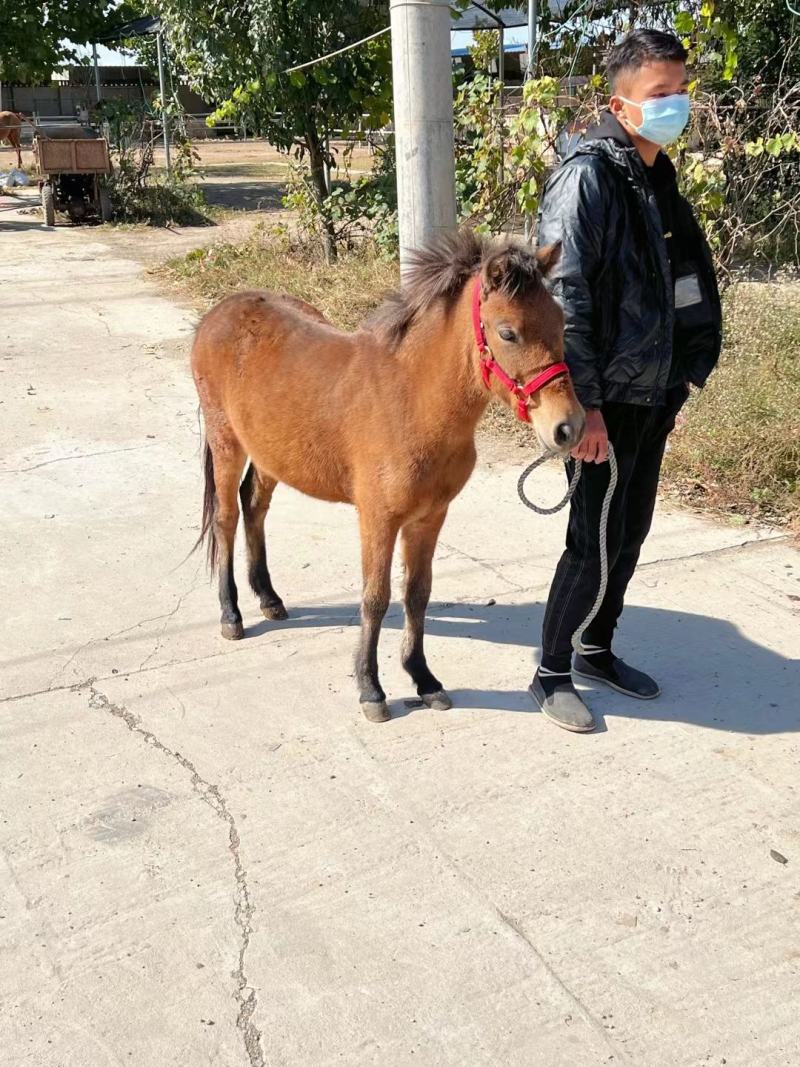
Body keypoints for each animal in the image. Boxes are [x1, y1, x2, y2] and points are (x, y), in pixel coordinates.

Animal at [191, 228, 585, 721]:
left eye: (561, 323)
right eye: (507, 331)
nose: (569, 428)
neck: (412, 401)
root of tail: (219, 312)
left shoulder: (429, 518)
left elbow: (417, 593)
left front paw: (424, 679)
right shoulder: (378, 518)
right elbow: (375, 598)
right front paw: (370, 689)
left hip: (268, 454)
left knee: (254, 506)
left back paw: (269, 598)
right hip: (226, 442)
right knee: (225, 518)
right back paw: (232, 615)